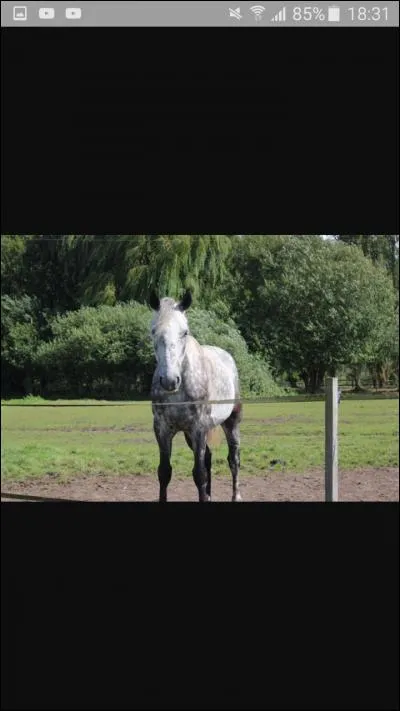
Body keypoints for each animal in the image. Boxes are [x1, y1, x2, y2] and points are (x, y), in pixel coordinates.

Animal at [149, 290, 242, 503]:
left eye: (184, 332)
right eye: (153, 331)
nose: (169, 380)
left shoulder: (198, 428)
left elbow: (199, 474)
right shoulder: (162, 429)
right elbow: (164, 472)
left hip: (231, 422)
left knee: (233, 459)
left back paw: (236, 496)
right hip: (189, 434)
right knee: (208, 458)